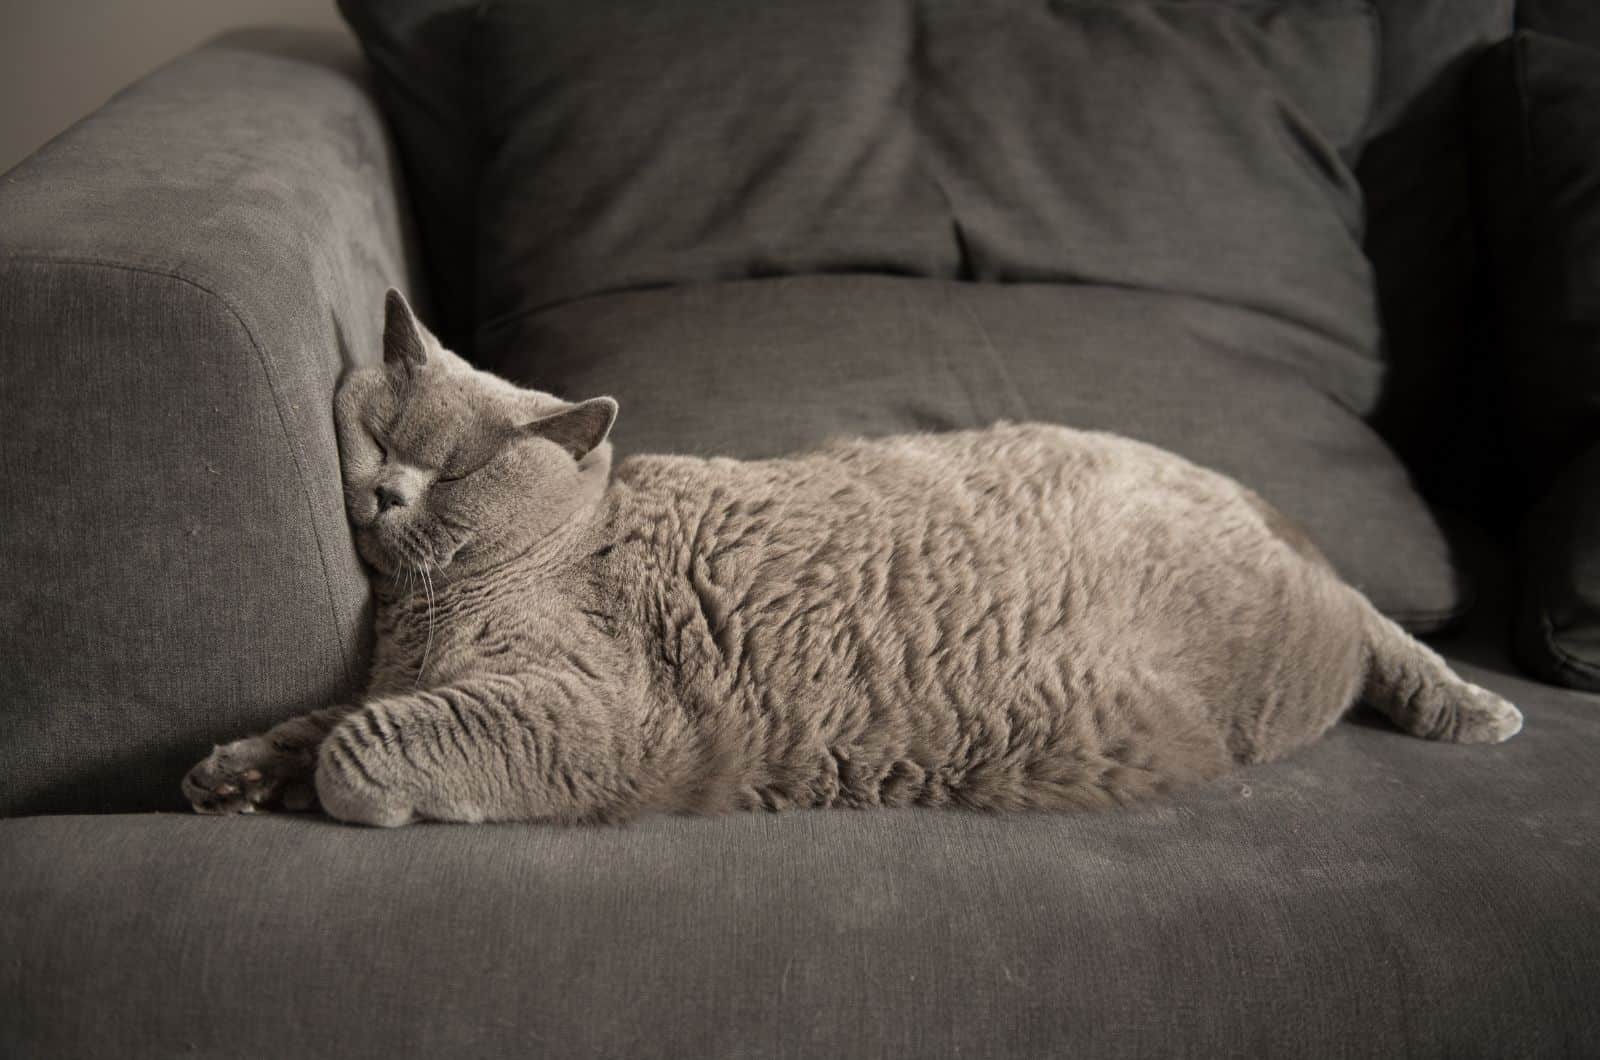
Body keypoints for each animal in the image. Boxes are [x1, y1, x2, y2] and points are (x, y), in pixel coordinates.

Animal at [181, 291, 1516, 832]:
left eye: (452, 471)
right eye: (383, 434)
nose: (384, 491)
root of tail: (1239, 489)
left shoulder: (586, 709)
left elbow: (364, 742)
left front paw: (323, 789)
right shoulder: (411, 675)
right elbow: (319, 719)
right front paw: (239, 773)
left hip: (1292, 649)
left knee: (1368, 621)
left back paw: (1465, 703)